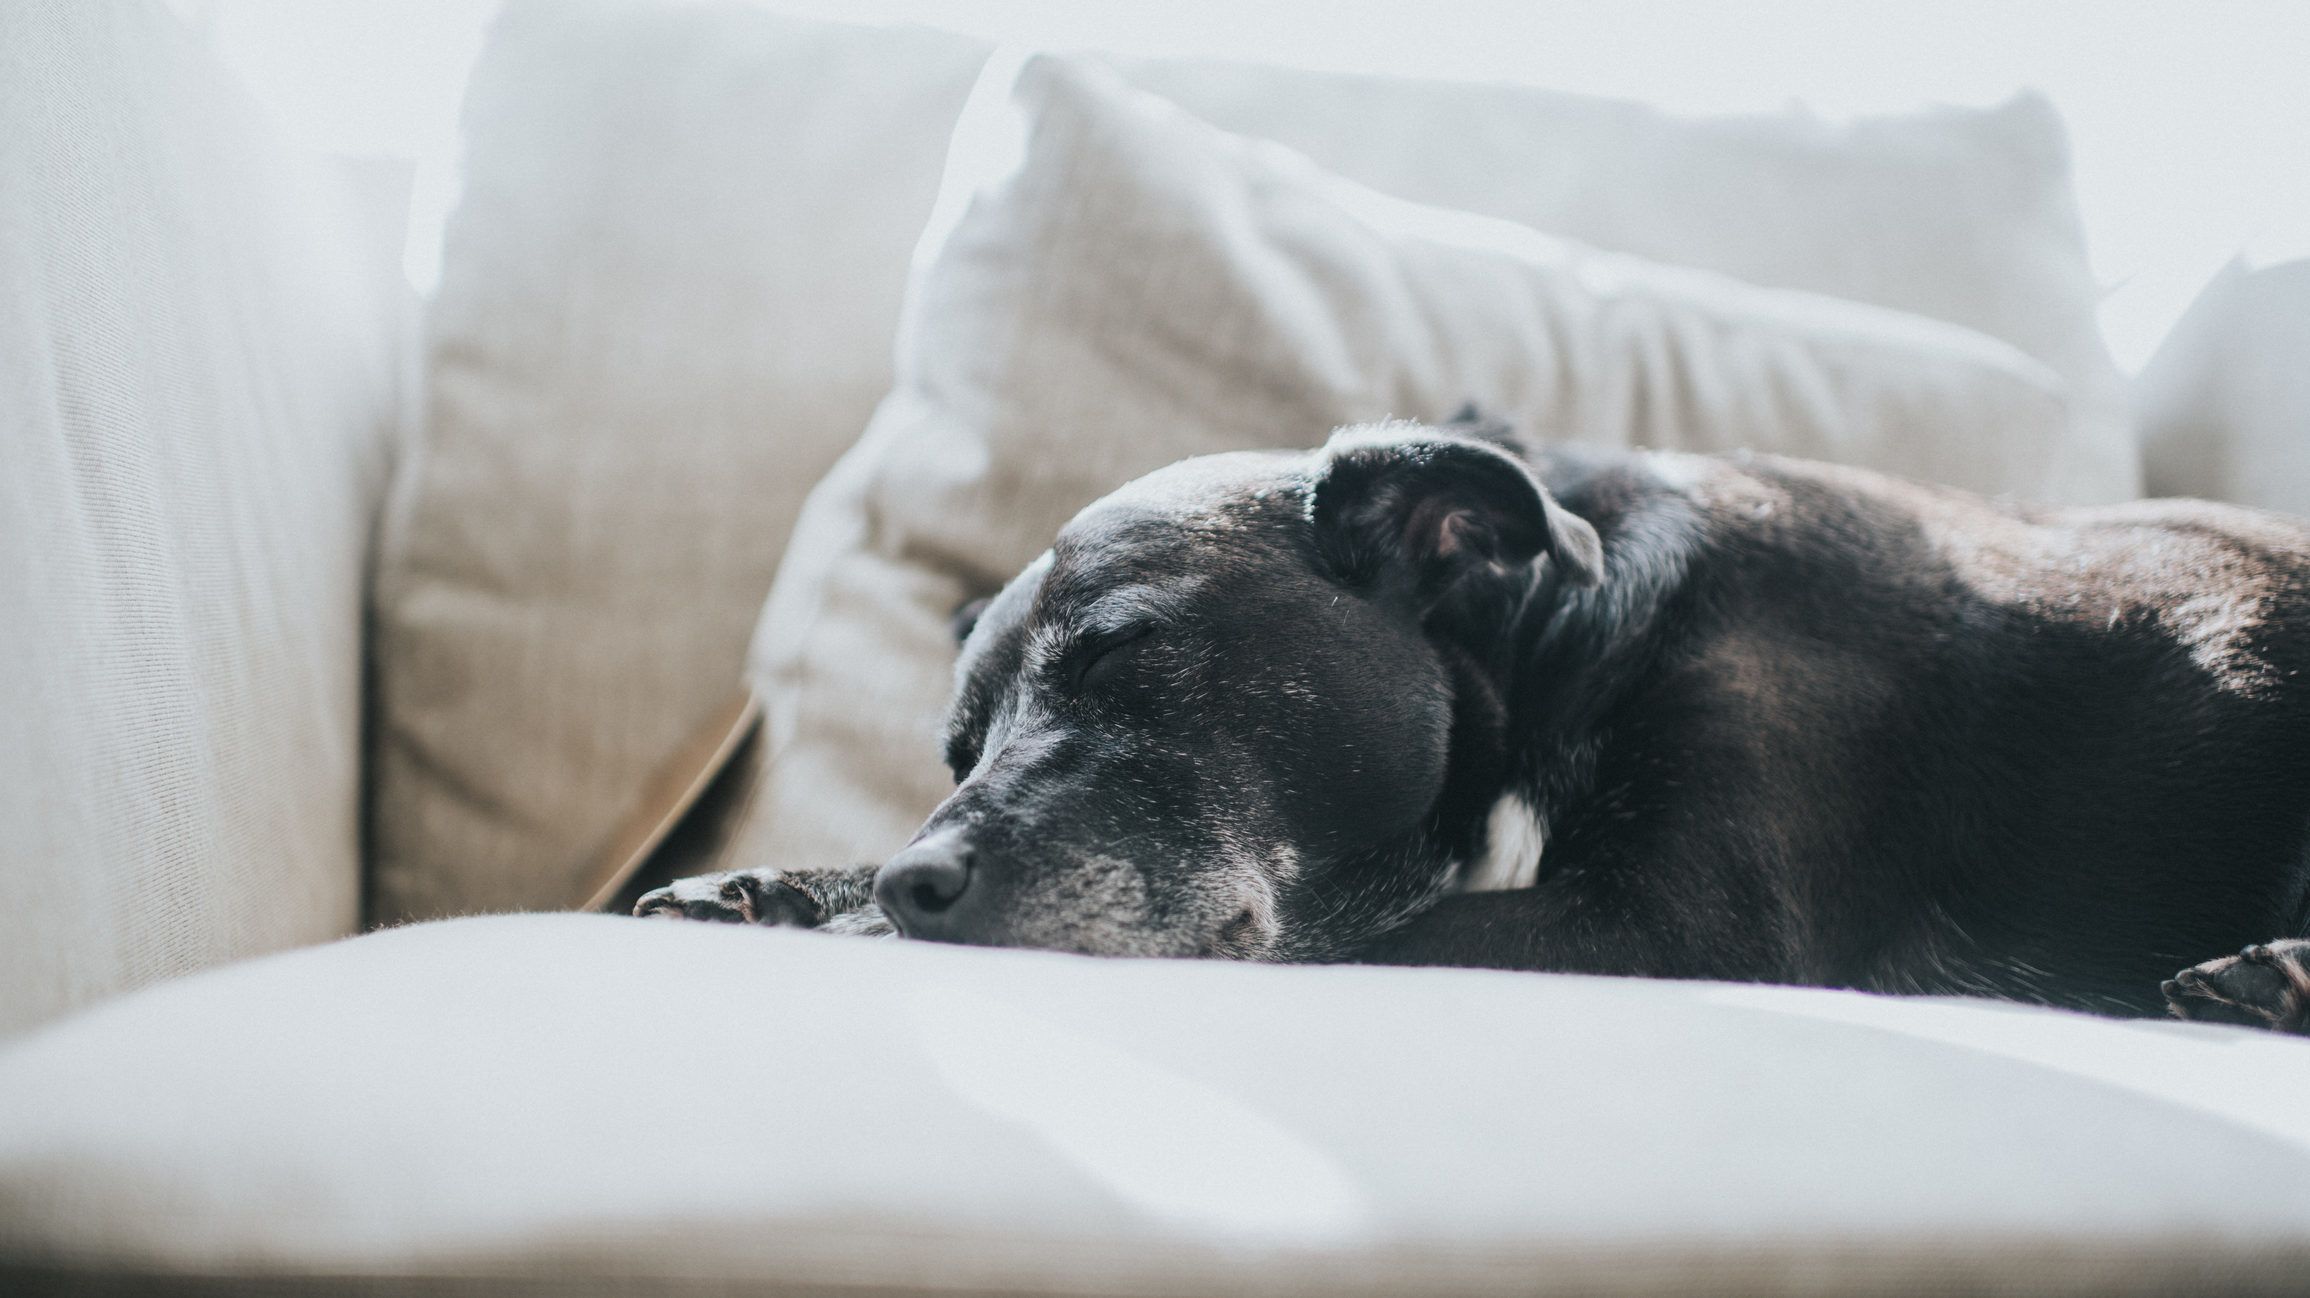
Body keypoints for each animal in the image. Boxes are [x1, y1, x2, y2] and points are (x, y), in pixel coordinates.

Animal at [642, 413, 2310, 1030]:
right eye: (958, 747)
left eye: (1125, 665)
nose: (923, 877)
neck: (1564, 643)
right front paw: (787, 881)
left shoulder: (1676, 924)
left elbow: (1354, 931)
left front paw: (848, 913)